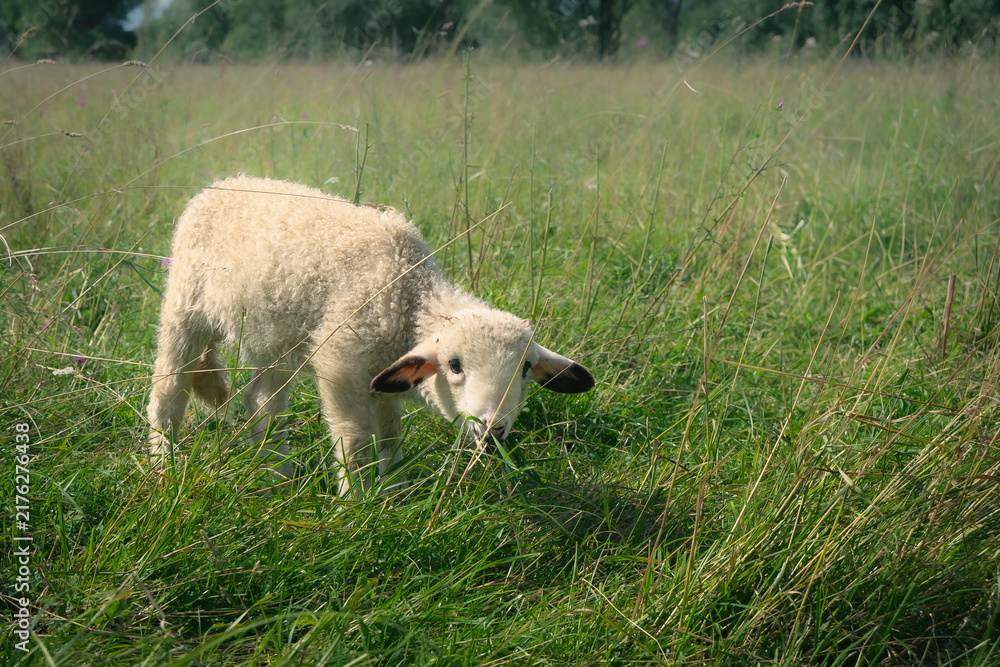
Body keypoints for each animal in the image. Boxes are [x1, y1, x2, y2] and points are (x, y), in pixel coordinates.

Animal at [146, 175, 594, 497]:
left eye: (527, 369)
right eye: (454, 365)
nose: (493, 427)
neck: (409, 296)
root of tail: (218, 185)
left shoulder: (383, 374)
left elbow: (391, 436)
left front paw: (395, 491)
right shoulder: (341, 364)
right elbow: (356, 441)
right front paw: (357, 502)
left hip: (273, 335)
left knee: (261, 402)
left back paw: (278, 476)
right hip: (184, 307)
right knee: (168, 389)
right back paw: (164, 464)